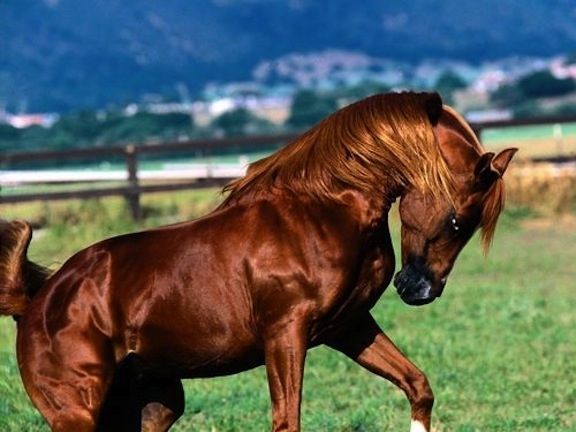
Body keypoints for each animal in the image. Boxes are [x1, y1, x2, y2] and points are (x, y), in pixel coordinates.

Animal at [0, 92, 512, 432]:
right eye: (459, 220)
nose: (419, 289)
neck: (322, 211)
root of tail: (35, 303)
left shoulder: (349, 326)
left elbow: (417, 385)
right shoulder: (285, 334)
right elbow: (287, 421)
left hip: (154, 405)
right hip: (79, 413)